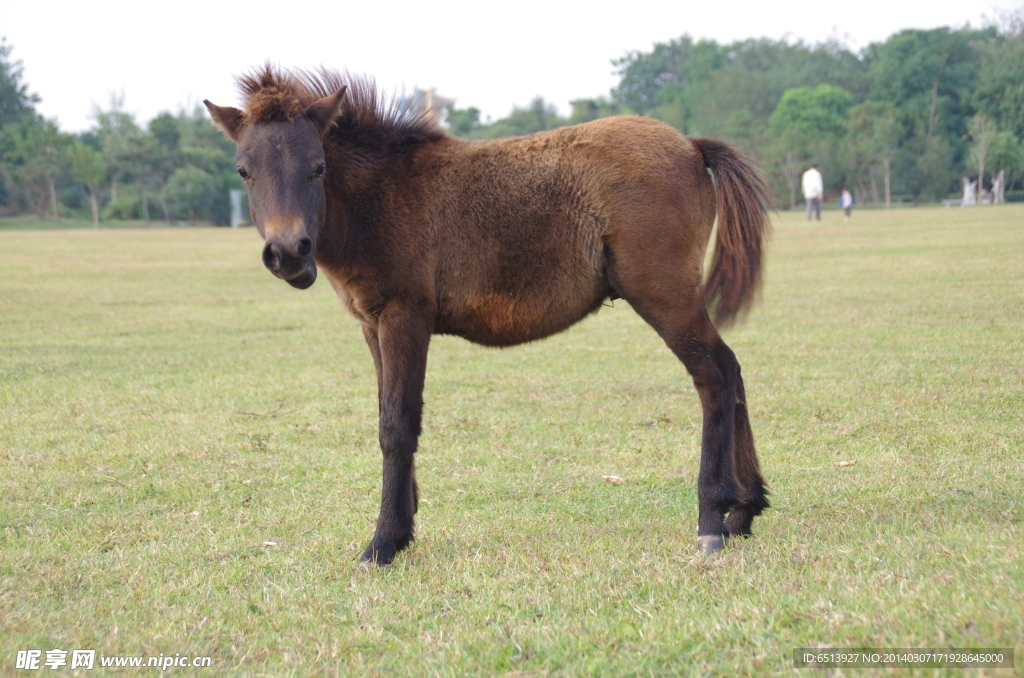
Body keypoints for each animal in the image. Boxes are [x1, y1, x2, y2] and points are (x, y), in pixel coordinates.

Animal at [205, 65, 773, 567]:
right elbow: (386, 414)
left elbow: (397, 425)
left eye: (318, 167)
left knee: (714, 375)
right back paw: (745, 511)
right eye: (243, 171)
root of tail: (691, 145)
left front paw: (382, 543)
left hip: (663, 294)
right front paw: (403, 528)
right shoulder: (372, 324)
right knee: (732, 369)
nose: (289, 253)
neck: (381, 196)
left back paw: (712, 518)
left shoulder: (405, 317)